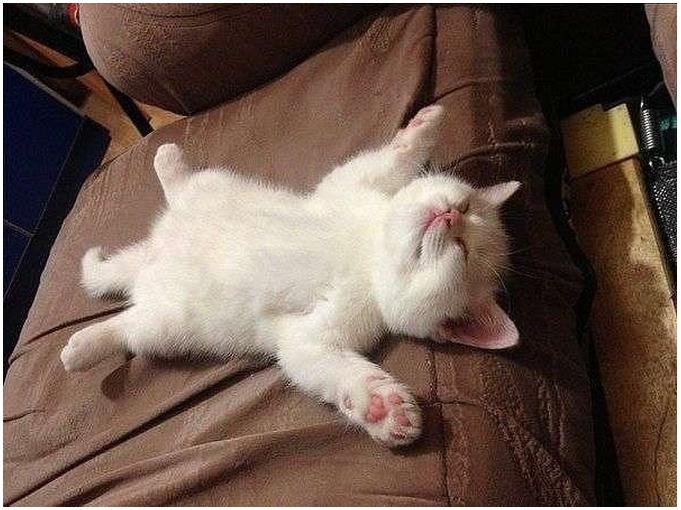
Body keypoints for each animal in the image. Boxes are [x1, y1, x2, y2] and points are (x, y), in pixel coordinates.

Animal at [60, 105, 519, 447]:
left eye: (464, 252)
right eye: (466, 207)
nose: (450, 216)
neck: (369, 250)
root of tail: (154, 256)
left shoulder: (313, 336)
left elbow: (318, 362)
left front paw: (381, 406)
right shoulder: (347, 186)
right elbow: (390, 161)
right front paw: (425, 126)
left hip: (164, 323)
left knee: (126, 326)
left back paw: (80, 346)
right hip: (212, 191)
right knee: (186, 186)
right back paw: (168, 159)